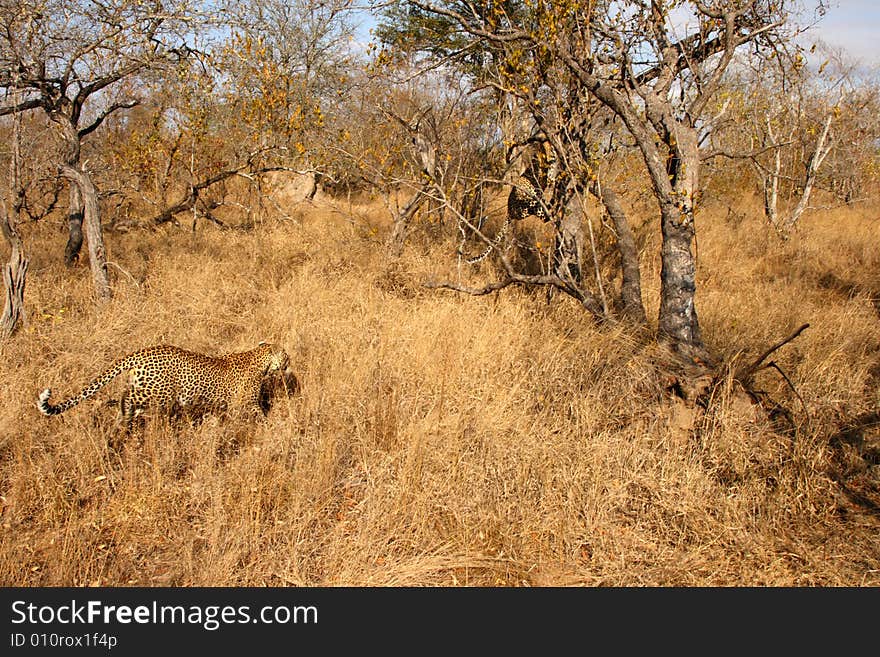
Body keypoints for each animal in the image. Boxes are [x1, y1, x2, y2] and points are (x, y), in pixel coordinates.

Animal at [36, 338, 290, 430]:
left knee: (128, 400)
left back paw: (125, 422)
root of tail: (142, 352)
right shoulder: (247, 402)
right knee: (127, 398)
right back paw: (123, 417)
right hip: (158, 392)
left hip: (145, 388)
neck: (259, 357)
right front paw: (271, 427)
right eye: (286, 356)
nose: (289, 363)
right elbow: (259, 415)